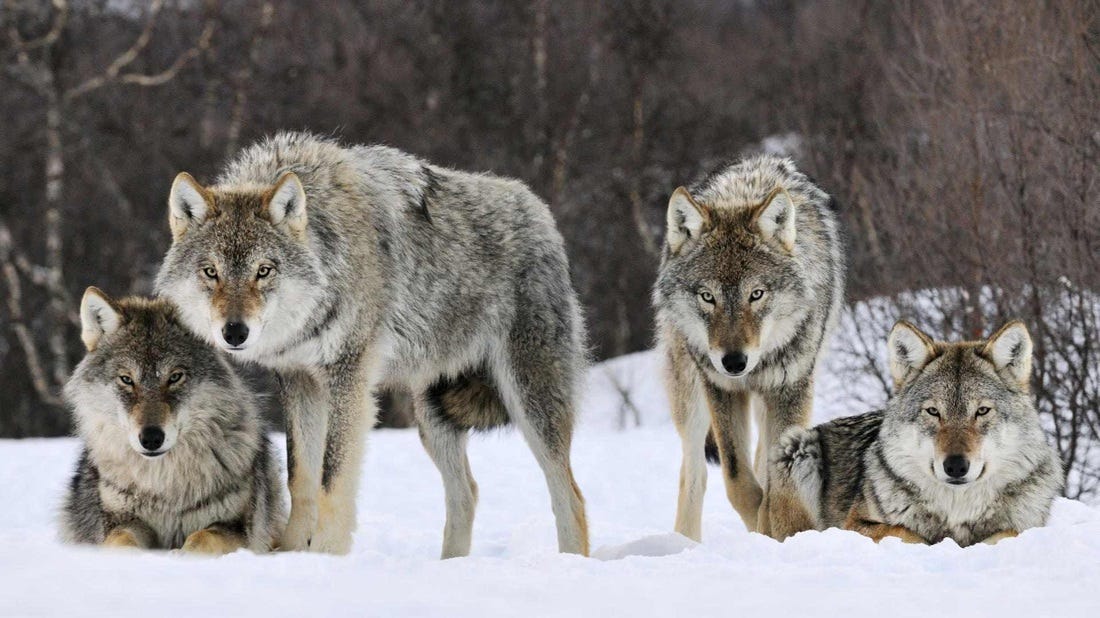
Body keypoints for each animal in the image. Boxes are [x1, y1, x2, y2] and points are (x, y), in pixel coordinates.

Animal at [60, 288, 284, 554]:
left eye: (175, 377)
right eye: (126, 379)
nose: (151, 438)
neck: (164, 486)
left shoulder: (236, 528)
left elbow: (201, 538)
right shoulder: (122, 521)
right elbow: (120, 541)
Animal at [155, 132, 588, 557]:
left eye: (264, 271)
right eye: (211, 272)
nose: (234, 332)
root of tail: (539, 211)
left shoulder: (349, 379)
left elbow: (332, 479)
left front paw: (326, 555)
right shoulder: (299, 380)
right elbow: (301, 477)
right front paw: (292, 553)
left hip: (529, 401)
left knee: (570, 495)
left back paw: (570, 561)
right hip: (432, 416)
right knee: (467, 492)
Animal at [653, 156, 844, 540]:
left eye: (756, 294)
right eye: (707, 296)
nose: (734, 362)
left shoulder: (791, 388)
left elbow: (775, 478)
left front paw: (775, 529)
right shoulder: (721, 389)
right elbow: (737, 479)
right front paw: (761, 524)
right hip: (690, 395)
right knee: (694, 472)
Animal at [771, 320, 1064, 545]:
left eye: (982, 411)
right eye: (933, 411)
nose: (955, 466)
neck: (957, 510)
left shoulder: (1026, 527)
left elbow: (1007, 533)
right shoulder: (855, 524)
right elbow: (906, 532)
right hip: (797, 447)